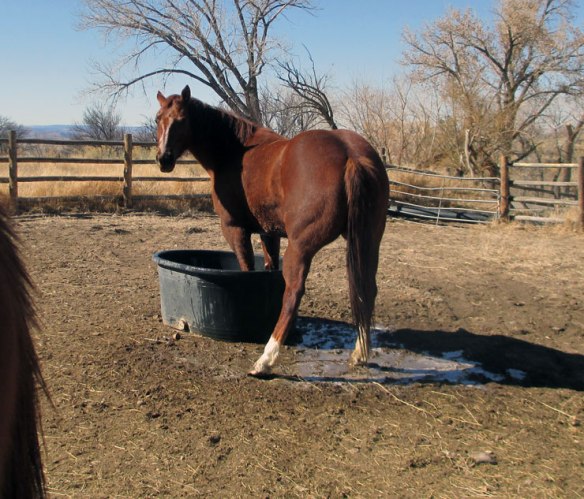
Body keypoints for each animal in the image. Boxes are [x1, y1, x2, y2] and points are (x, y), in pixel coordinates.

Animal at [155, 86, 389, 377]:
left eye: (182, 119)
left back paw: (266, 359)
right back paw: (360, 352)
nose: (163, 158)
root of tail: (351, 155)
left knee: (294, 292)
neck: (233, 151)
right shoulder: (269, 232)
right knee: (367, 288)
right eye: (158, 119)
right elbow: (268, 269)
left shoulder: (235, 229)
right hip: (368, 241)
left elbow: (246, 271)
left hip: (301, 247)